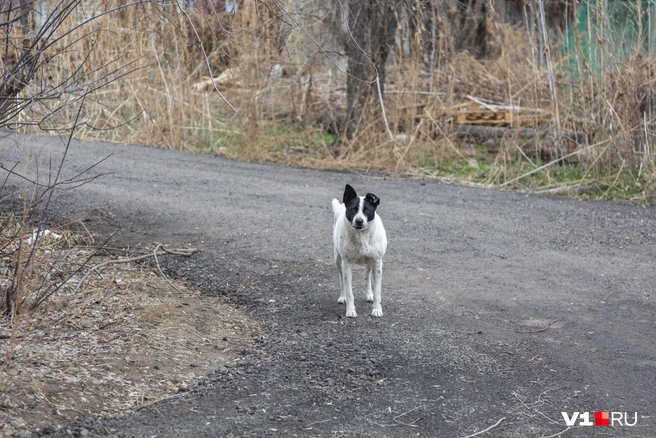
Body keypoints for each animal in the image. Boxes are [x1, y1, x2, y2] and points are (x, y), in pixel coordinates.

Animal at [330, 183, 386, 316]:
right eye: (353, 209)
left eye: (367, 210)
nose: (359, 221)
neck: (361, 235)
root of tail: (341, 205)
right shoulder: (347, 264)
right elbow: (349, 291)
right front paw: (350, 311)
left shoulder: (377, 263)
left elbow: (377, 291)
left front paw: (377, 309)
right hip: (338, 260)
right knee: (342, 280)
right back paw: (342, 297)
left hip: (370, 262)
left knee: (366, 275)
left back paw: (369, 295)